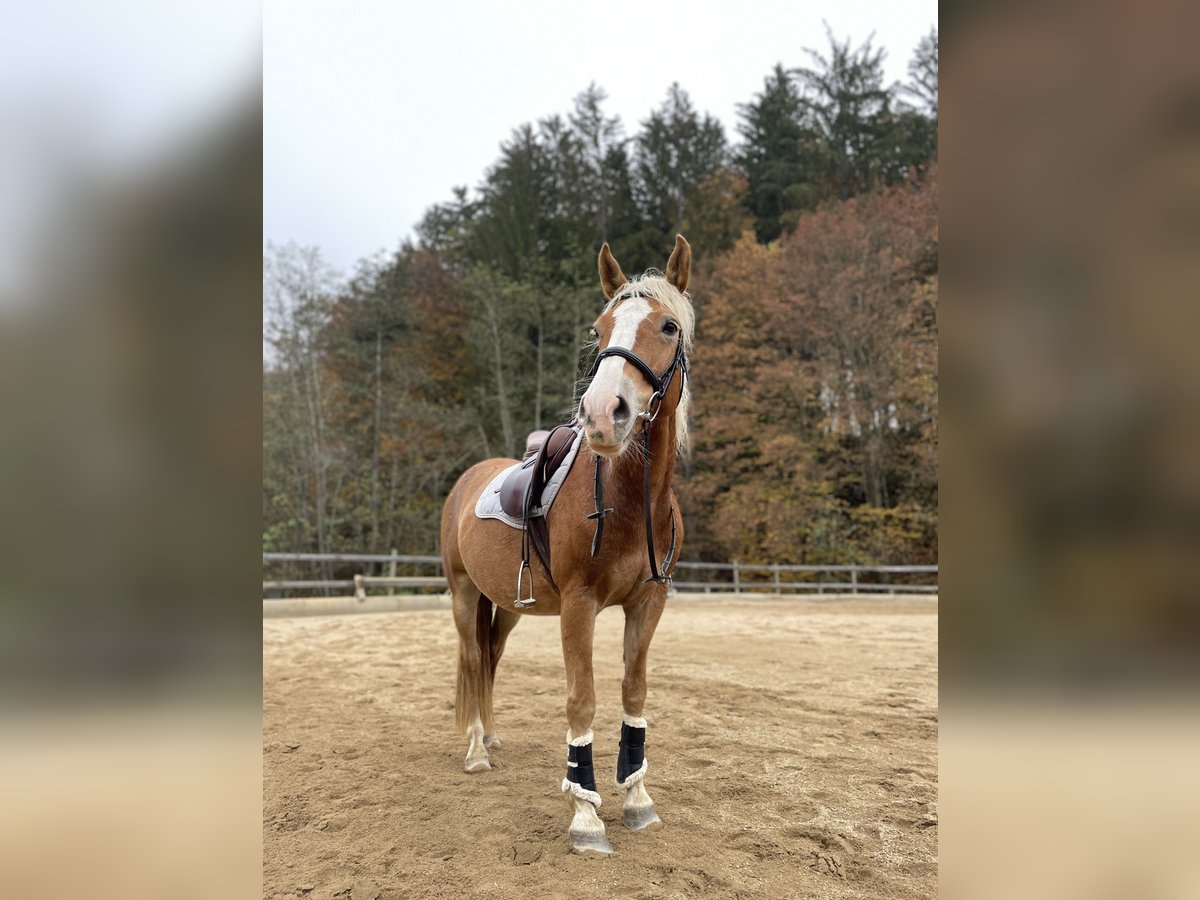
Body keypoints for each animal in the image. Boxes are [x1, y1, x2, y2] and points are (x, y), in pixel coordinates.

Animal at [439, 236, 696, 854]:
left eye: (669, 326)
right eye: (598, 330)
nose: (604, 414)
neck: (630, 501)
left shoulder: (649, 602)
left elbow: (634, 693)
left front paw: (637, 799)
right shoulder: (579, 605)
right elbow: (583, 699)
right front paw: (586, 816)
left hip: (506, 605)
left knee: (490, 658)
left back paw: (493, 737)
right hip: (462, 594)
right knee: (471, 659)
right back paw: (477, 750)